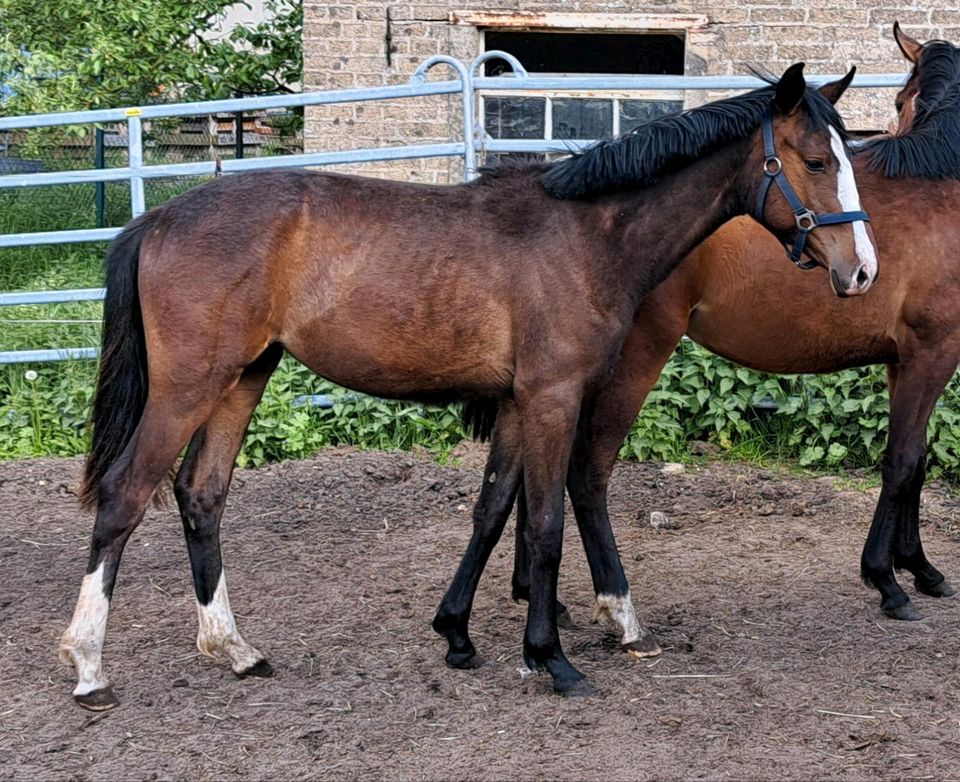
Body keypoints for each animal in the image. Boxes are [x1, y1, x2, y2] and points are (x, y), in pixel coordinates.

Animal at [56, 64, 872, 708]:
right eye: (813, 159)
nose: (861, 270)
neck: (586, 234)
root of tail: (159, 218)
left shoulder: (515, 402)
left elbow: (490, 510)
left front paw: (458, 634)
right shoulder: (551, 397)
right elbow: (543, 525)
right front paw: (551, 659)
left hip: (243, 378)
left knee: (202, 496)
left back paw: (233, 649)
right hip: (189, 388)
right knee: (125, 496)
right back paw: (89, 665)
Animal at [436, 24, 960, 672]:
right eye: (899, 100)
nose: (862, 270)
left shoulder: (905, 363)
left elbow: (917, 461)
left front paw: (921, 569)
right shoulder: (931, 354)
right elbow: (904, 460)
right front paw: (888, 581)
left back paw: (536, 597)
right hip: (629, 364)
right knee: (585, 472)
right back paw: (612, 613)